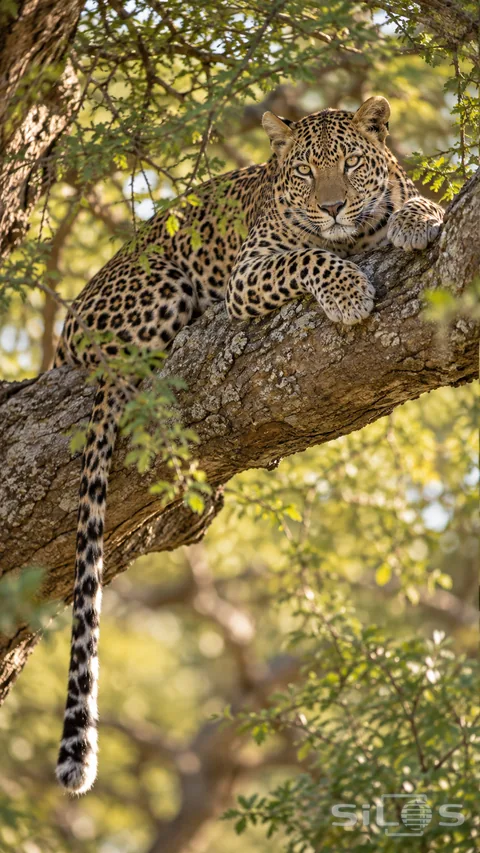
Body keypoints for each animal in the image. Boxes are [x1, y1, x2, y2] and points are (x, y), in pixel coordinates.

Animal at [54, 96, 444, 794]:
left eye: (350, 165)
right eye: (305, 173)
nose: (333, 207)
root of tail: (68, 336)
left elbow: (409, 200)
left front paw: (418, 216)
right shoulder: (251, 272)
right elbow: (309, 260)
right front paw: (349, 293)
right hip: (159, 290)